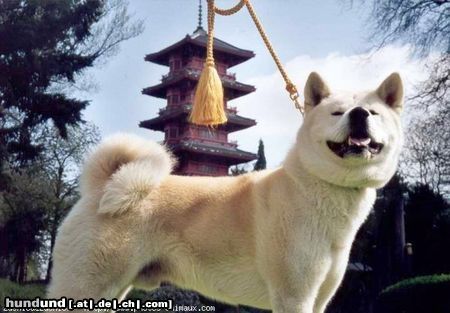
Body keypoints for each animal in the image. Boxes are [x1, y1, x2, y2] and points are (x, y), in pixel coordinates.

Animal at [47, 72, 402, 310]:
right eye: (337, 112)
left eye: (373, 113)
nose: (359, 115)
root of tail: (103, 185)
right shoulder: (294, 296)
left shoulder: (319, 299)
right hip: (86, 285)